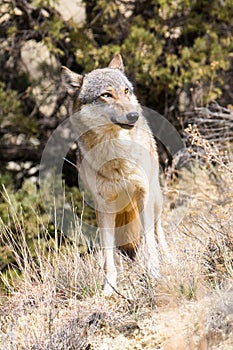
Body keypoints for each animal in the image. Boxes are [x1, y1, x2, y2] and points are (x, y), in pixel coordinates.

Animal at [61, 55, 168, 296]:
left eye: (126, 91)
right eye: (106, 95)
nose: (134, 115)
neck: (117, 156)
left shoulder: (144, 196)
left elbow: (150, 244)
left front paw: (154, 274)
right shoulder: (104, 207)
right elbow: (107, 256)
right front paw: (109, 288)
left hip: (155, 199)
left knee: (159, 234)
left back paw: (170, 260)